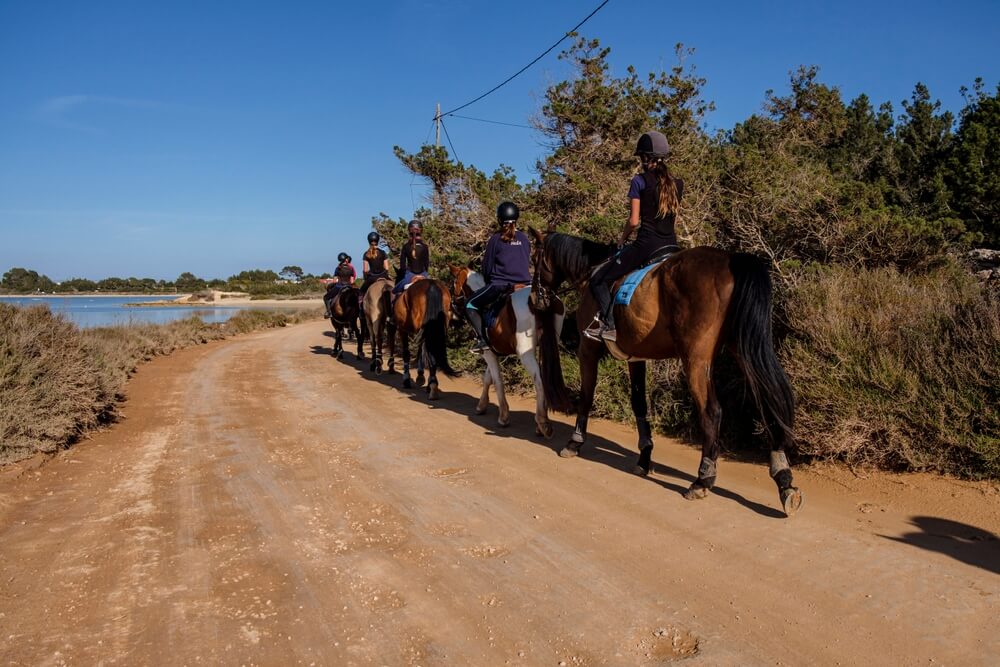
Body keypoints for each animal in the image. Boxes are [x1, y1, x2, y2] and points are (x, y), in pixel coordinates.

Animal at [528, 228, 800, 516]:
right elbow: (639, 404)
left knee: (712, 412)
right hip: (742, 347)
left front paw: (574, 442)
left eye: (534, 258)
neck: (592, 270)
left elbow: (586, 396)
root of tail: (730, 259)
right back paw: (784, 481)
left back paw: (702, 480)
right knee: (767, 400)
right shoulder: (635, 358)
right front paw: (644, 458)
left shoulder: (588, 349)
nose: (534, 298)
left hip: (696, 359)